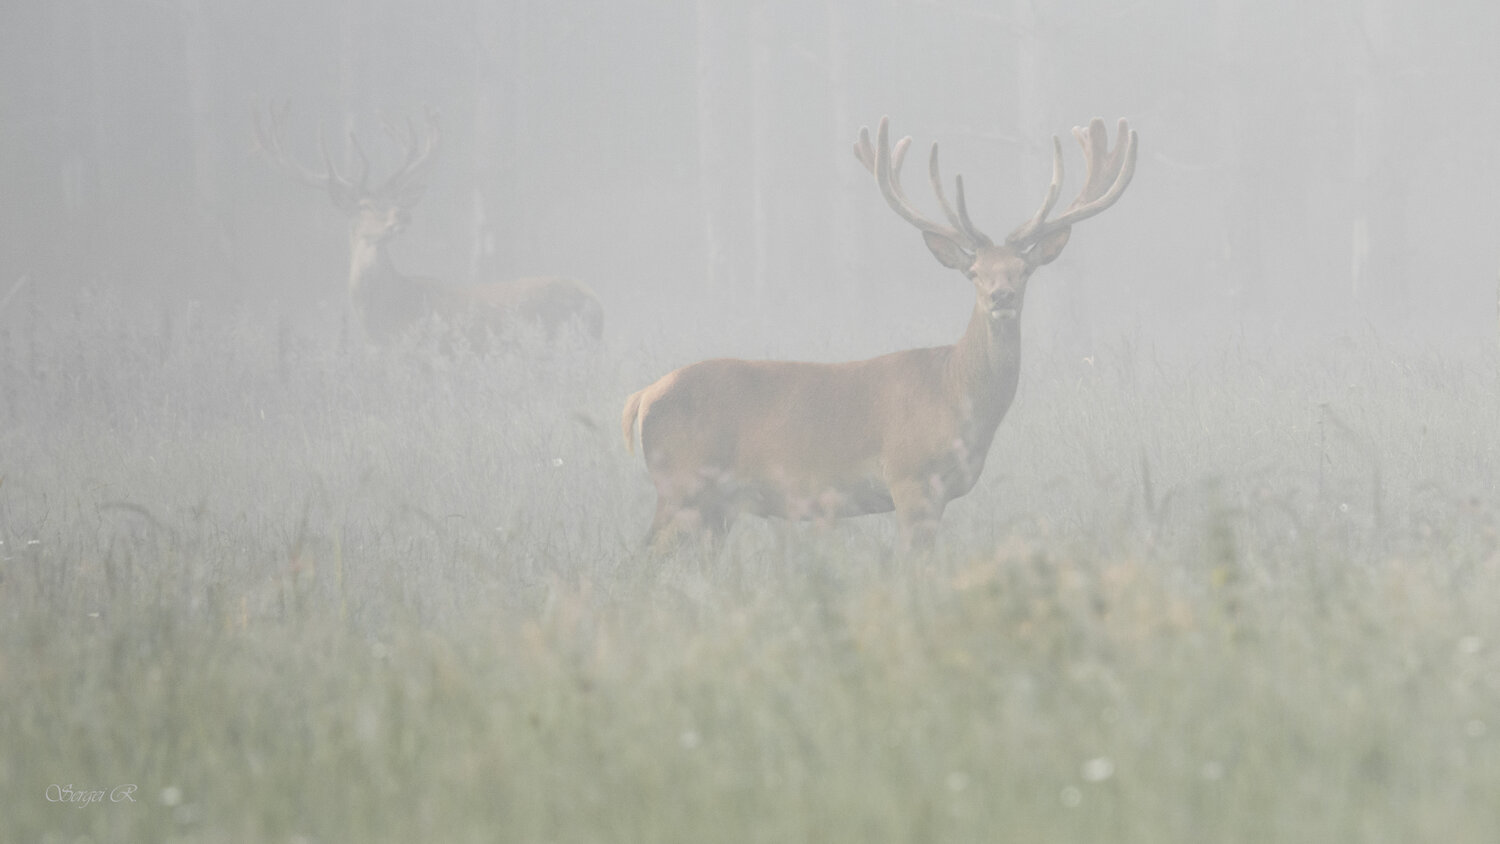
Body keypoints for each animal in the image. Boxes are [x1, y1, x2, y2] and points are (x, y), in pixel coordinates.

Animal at [622, 116, 1136, 552]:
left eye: (1023, 270)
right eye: (974, 272)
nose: (1001, 296)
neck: (954, 394)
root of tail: (641, 398)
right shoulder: (909, 477)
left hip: (716, 506)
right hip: (682, 484)